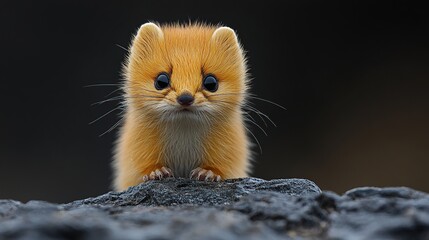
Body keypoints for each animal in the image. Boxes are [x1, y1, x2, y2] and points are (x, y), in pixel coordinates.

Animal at [113, 22, 251, 191]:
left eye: (211, 82)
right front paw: (156, 172)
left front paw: (208, 173)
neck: (184, 143)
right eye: (161, 80)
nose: (185, 97)